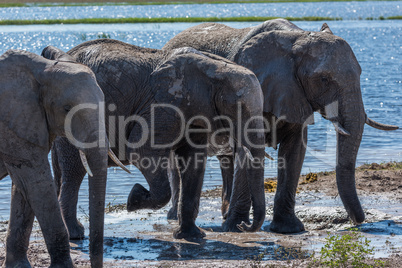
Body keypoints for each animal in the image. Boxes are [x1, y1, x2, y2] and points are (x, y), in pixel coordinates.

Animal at [0, 49, 125, 266]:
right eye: (67, 109)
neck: (43, 69)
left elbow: (23, 187)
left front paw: (18, 267)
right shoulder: (14, 121)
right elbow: (37, 183)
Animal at [41, 38, 266, 240]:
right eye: (236, 107)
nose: (244, 227)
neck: (216, 67)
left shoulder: (197, 110)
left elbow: (193, 162)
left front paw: (192, 236)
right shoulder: (161, 106)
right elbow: (141, 152)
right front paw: (133, 199)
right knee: (74, 171)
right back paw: (75, 234)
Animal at [163, 18, 398, 232]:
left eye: (360, 73)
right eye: (323, 79)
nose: (357, 221)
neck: (296, 37)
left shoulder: (295, 94)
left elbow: (294, 150)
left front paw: (288, 228)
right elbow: (247, 152)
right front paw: (236, 227)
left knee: (226, 161)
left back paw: (223, 215)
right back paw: (176, 217)